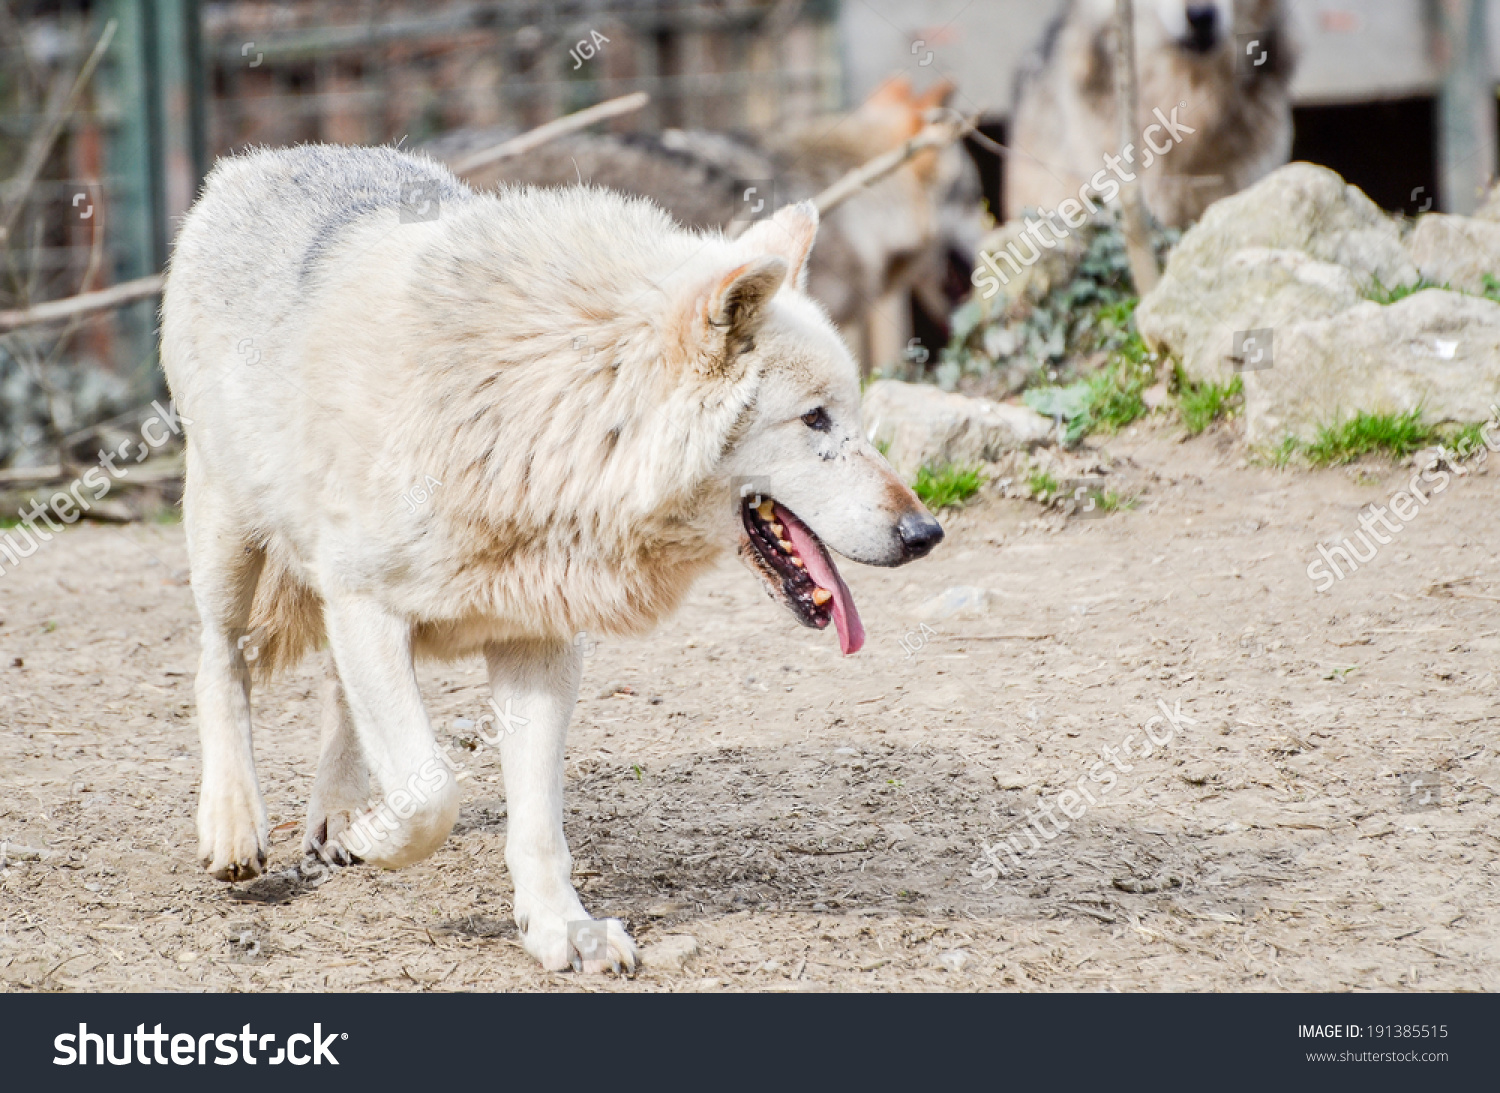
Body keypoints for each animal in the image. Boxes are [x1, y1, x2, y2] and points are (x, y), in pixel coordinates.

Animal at [161, 144, 936, 971]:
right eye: (816, 419)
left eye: (855, 414)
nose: (926, 531)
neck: (547, 421)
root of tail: (260, 161)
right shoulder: (368, 602)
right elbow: (433, 792)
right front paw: (380, 837)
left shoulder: (536, 641)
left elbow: (533, 820)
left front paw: (562, 928)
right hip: (228, 532)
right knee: (222, 659)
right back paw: (236, 824)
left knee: (336, 689)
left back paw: (336, 815)